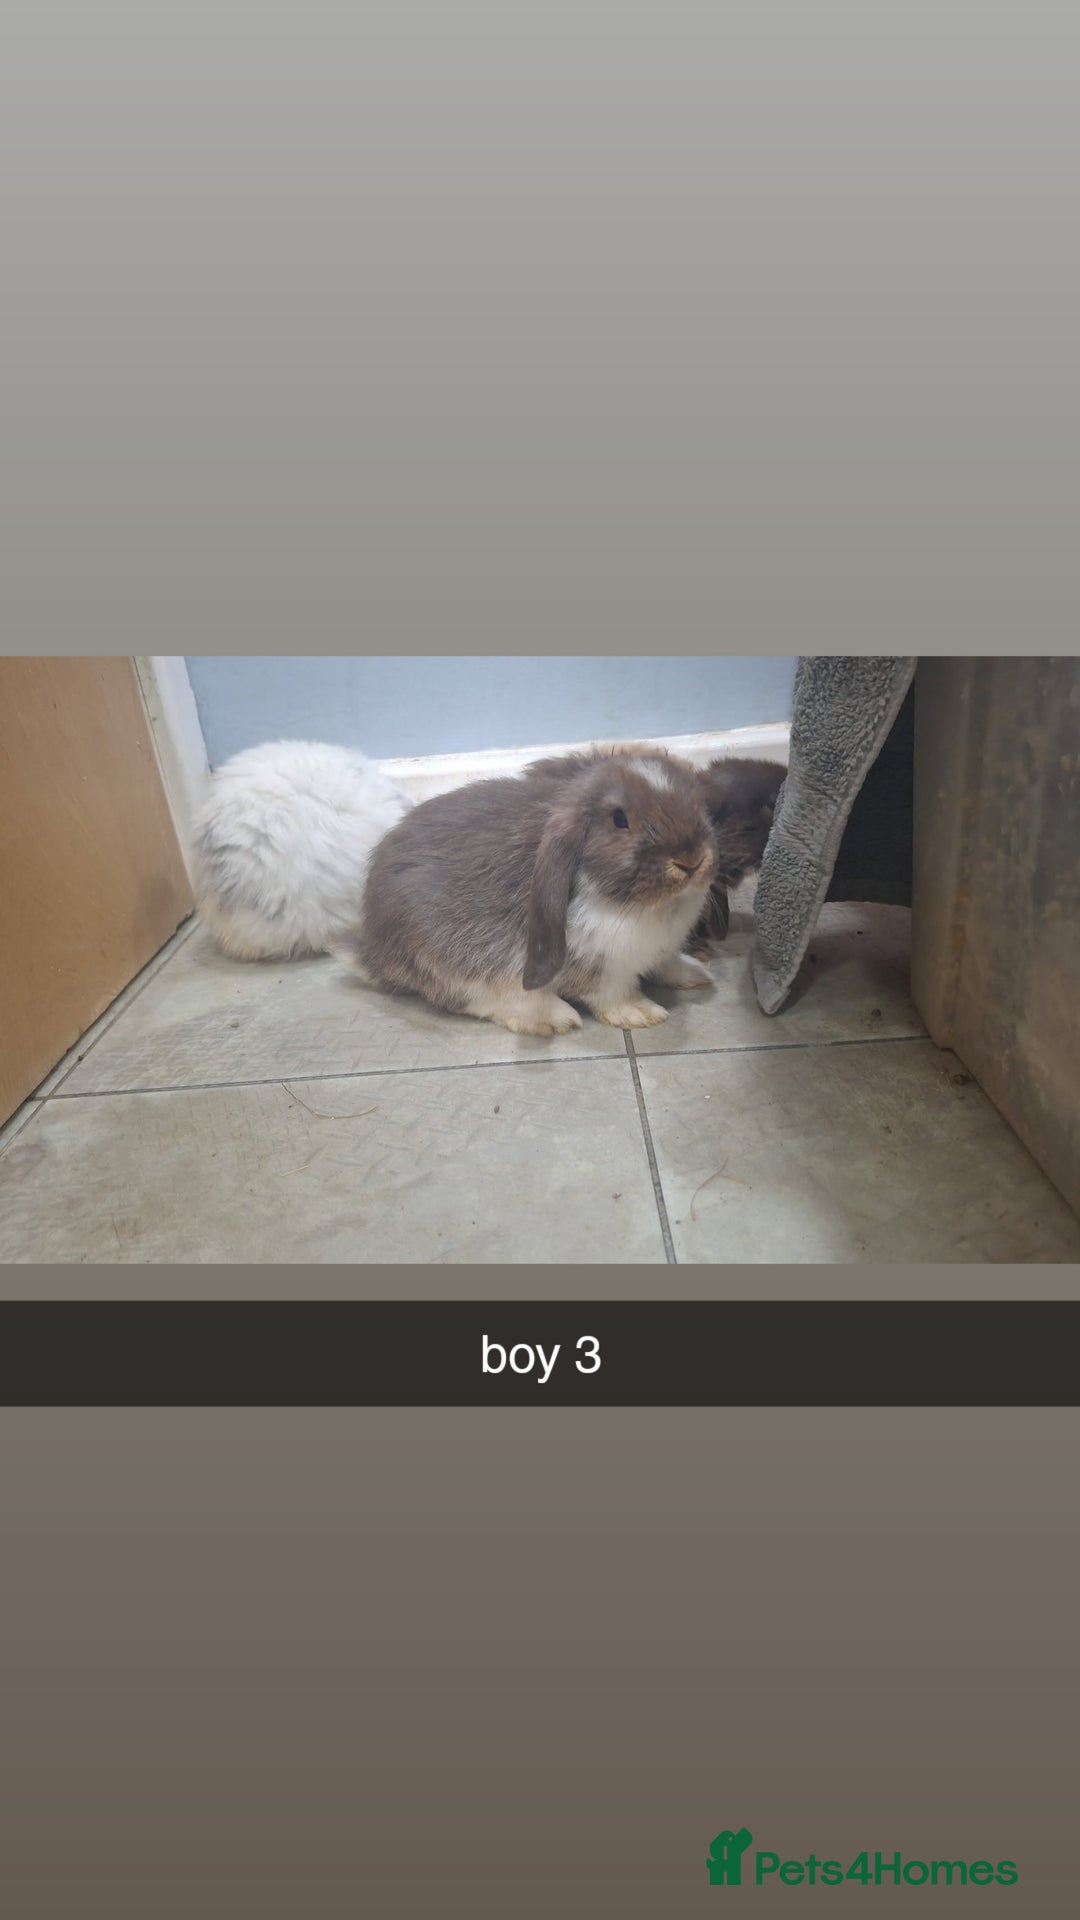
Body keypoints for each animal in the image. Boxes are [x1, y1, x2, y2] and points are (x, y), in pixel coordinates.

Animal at [341, 744, 719, 1035]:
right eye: (619, 819)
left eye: (697, 802)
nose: (691, 860)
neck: (654, 906)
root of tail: (374, 952)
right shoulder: (597, 963)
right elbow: (611, 992)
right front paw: (641, 1013)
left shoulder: (661, 949)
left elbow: (668, 963)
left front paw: (697, 974)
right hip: (448, 957)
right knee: (476, 997)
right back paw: (551, 1018)